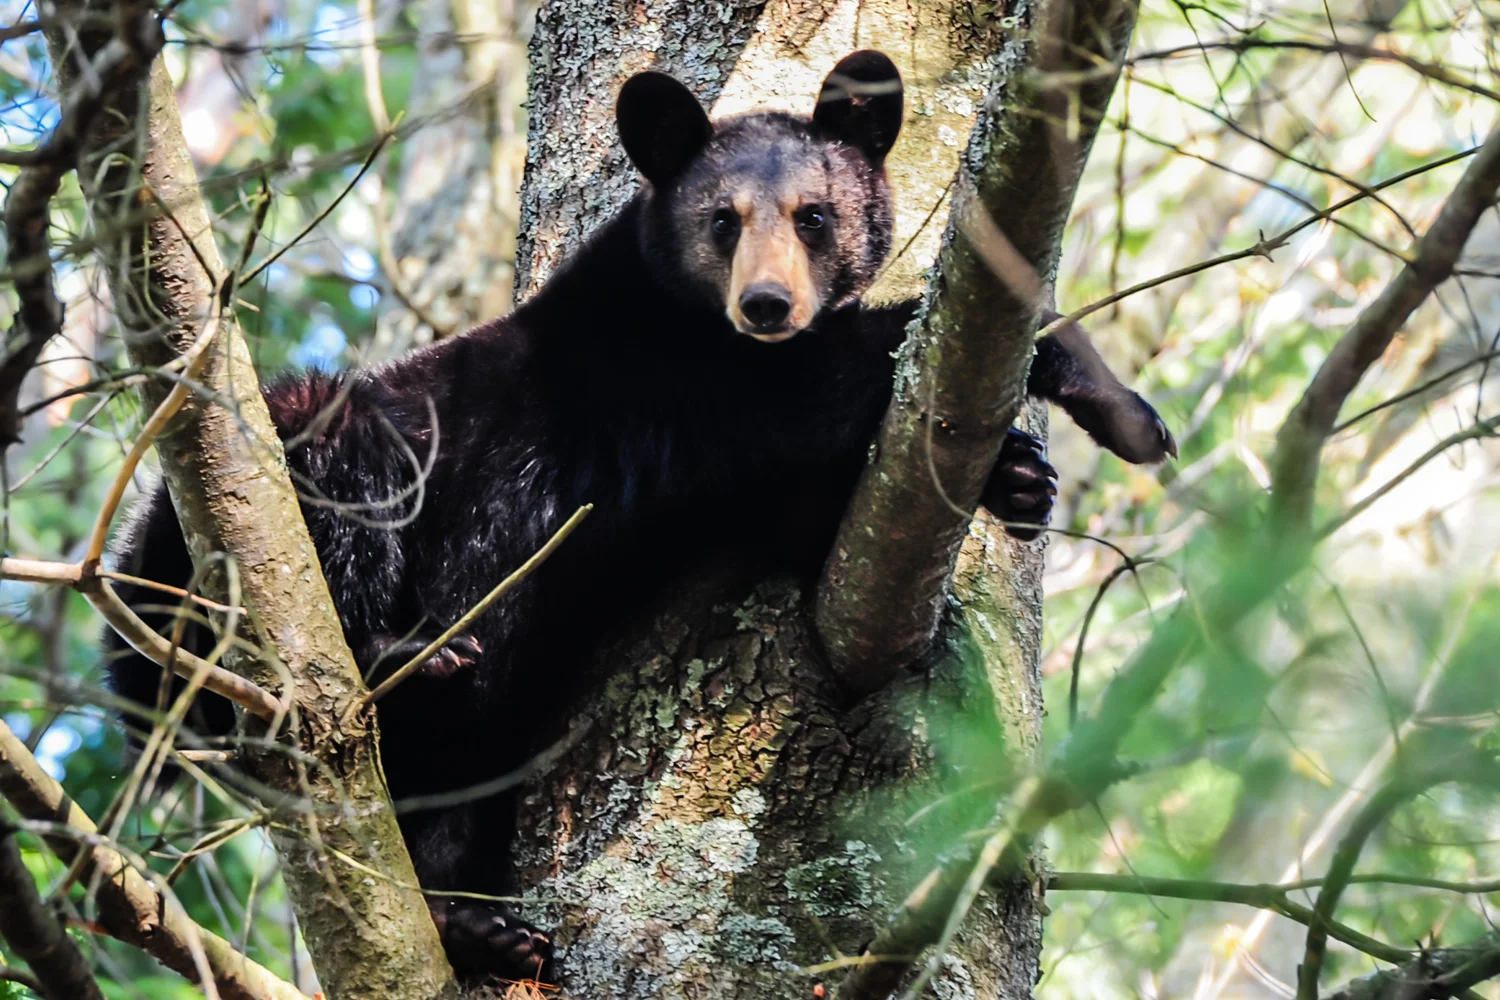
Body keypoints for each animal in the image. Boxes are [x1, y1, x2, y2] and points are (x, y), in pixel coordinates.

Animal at [106, 50, 1175, 983]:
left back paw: (475, 927)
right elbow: (837, 381)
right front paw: (1116, 406)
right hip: (267, 494)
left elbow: (811, 513)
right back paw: (390, 652)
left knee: (448, 798)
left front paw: (1027, 479)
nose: (768, 303)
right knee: (342, 483)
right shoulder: (667, 377)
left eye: (815, 216)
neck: (674, 304)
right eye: (722, 220)